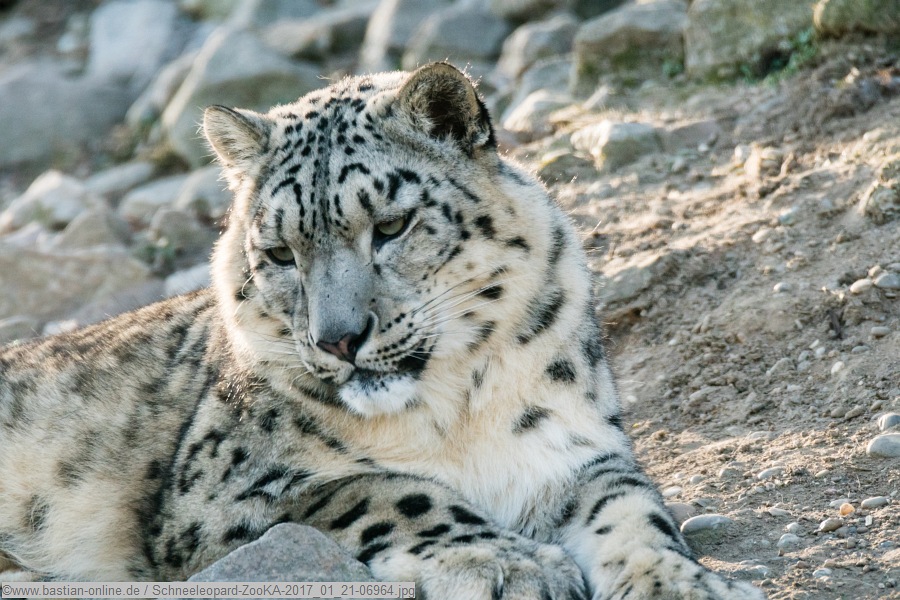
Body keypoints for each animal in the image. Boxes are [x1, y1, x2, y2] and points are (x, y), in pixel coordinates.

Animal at [0, 62, 764, 599]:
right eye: (280, 252)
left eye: (391, 225)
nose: (338, 338)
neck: (458, 413)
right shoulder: (215, 496)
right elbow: (389, 489)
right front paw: (510, 563)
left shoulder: (577, 450)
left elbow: (636, 513)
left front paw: (684, 584)